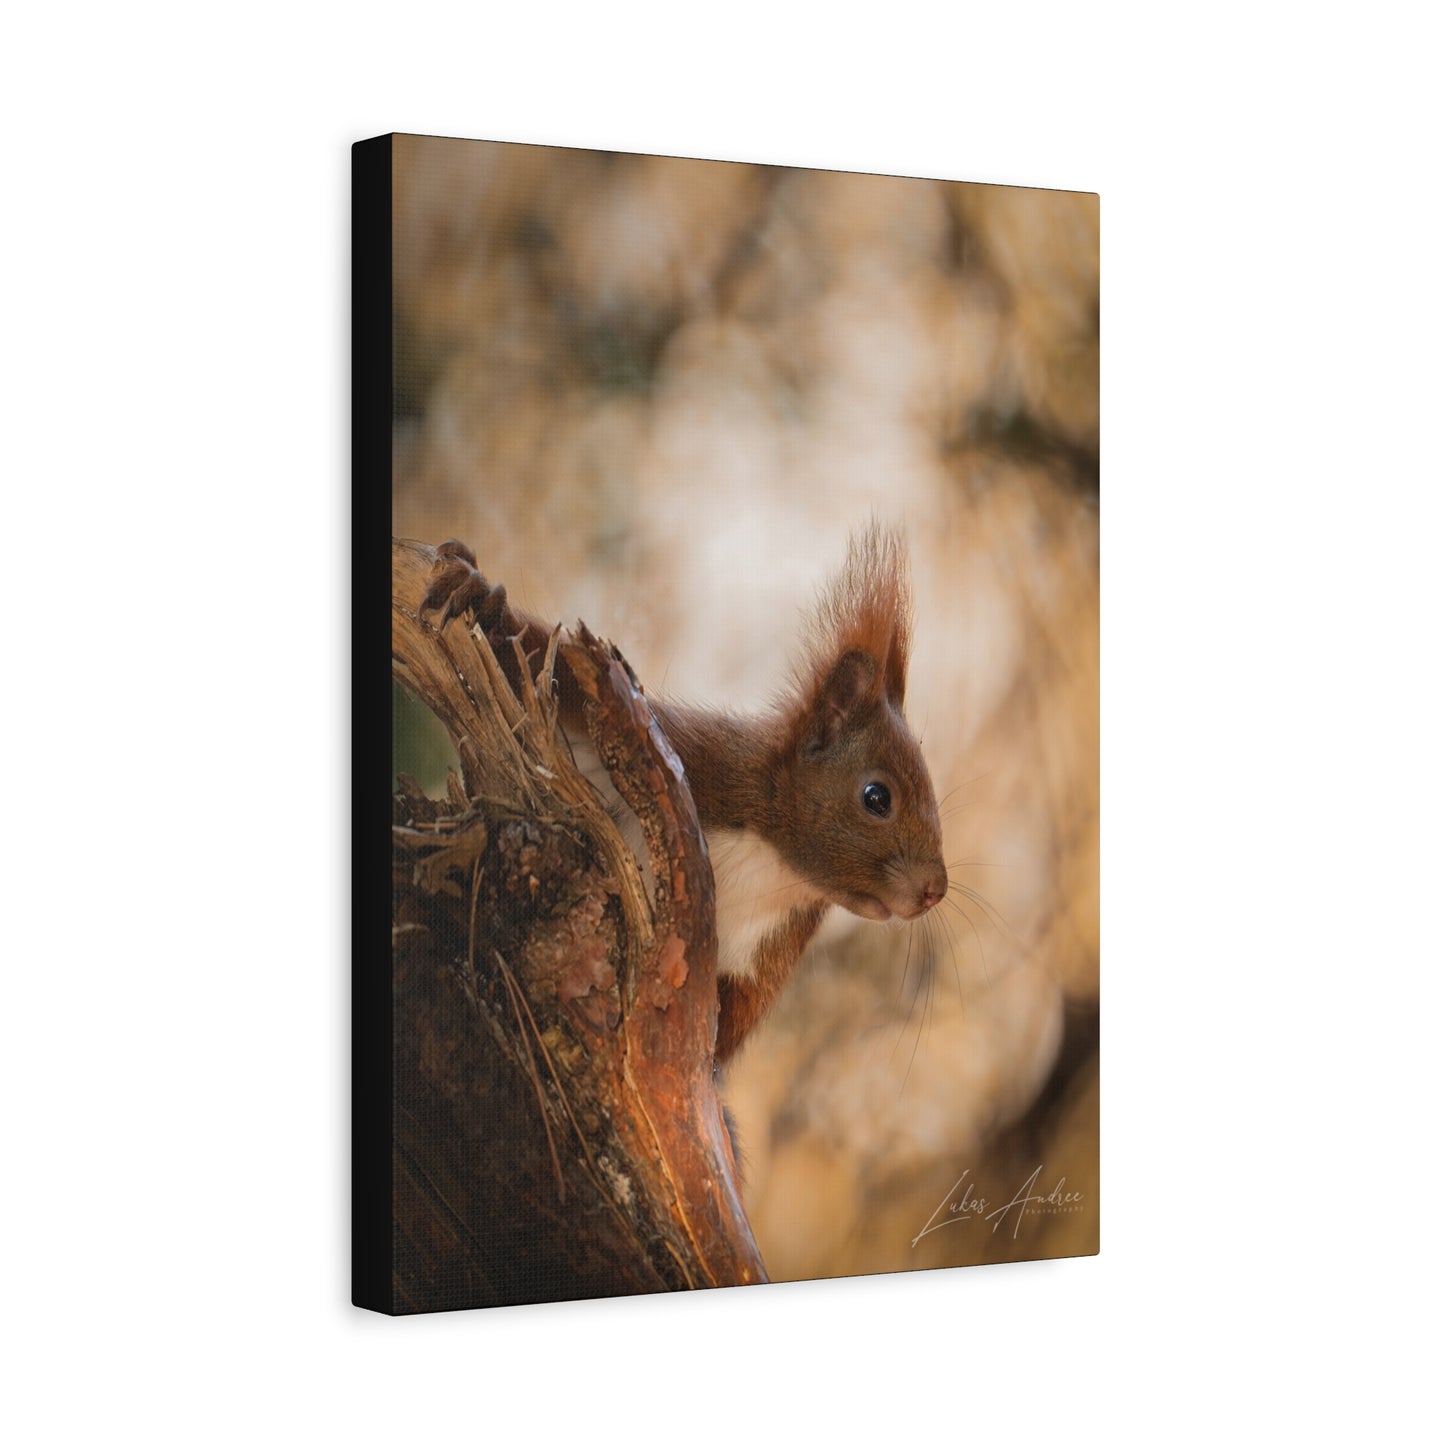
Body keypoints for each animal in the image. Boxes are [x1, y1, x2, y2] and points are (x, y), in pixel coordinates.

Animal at [420, 525, 948, 1066]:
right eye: (877, 797)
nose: (936, 889)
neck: (770, 862)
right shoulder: (688, 753)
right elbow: (553, 673)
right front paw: (480, 598)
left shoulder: (767, 955)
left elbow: (718, 1038)